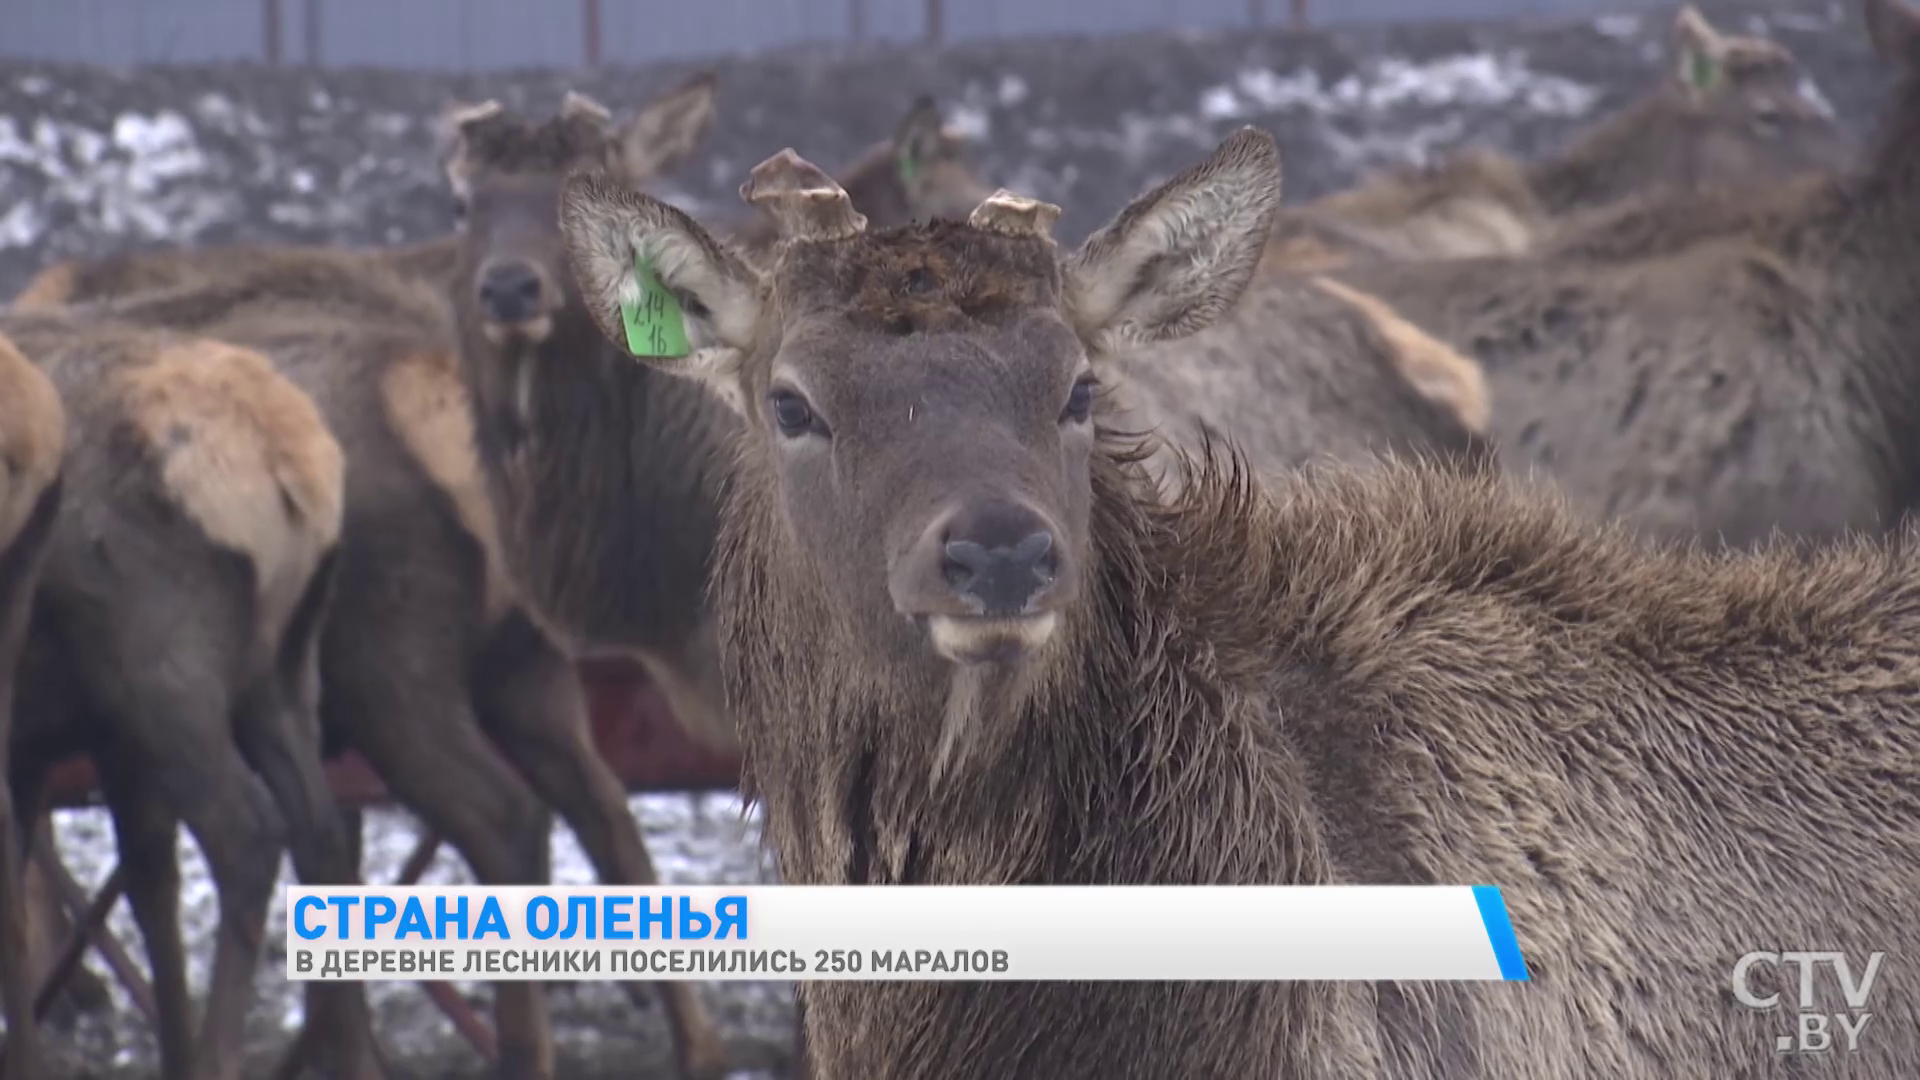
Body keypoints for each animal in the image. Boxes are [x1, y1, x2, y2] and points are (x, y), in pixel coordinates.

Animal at [0, 311, 378, 1076]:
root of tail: (291, 463)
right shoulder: (81, 741)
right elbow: (146, 882)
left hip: (167, 677)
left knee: (247, 834)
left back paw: (217, 1055)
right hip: (280, 675)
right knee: (321, 832)